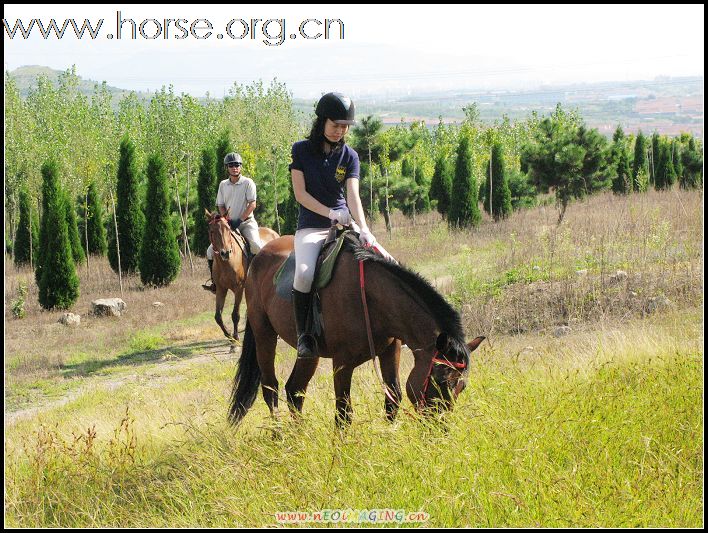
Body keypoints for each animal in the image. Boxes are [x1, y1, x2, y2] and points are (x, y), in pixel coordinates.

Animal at [205, 208, 280, 340]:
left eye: (228, 229)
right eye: (212, 231)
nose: (225, 253)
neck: (227, 263)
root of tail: (273, 233)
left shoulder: (238, 288)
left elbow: (235, 314)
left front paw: (235, 337)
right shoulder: (221, 289)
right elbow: (218, 316)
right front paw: (228, 335)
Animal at [230, 232, 484, 424]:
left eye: (461, 386)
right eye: (440, 381)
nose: (440, 427)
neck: (370, 298)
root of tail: (258, 257)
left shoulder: (390, 350)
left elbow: (393, 399)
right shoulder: (342, 363)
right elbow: (343, 412)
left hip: (309, 352)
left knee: (294, 391)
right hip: (264, 335)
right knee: (270, 389)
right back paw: (281, 437)